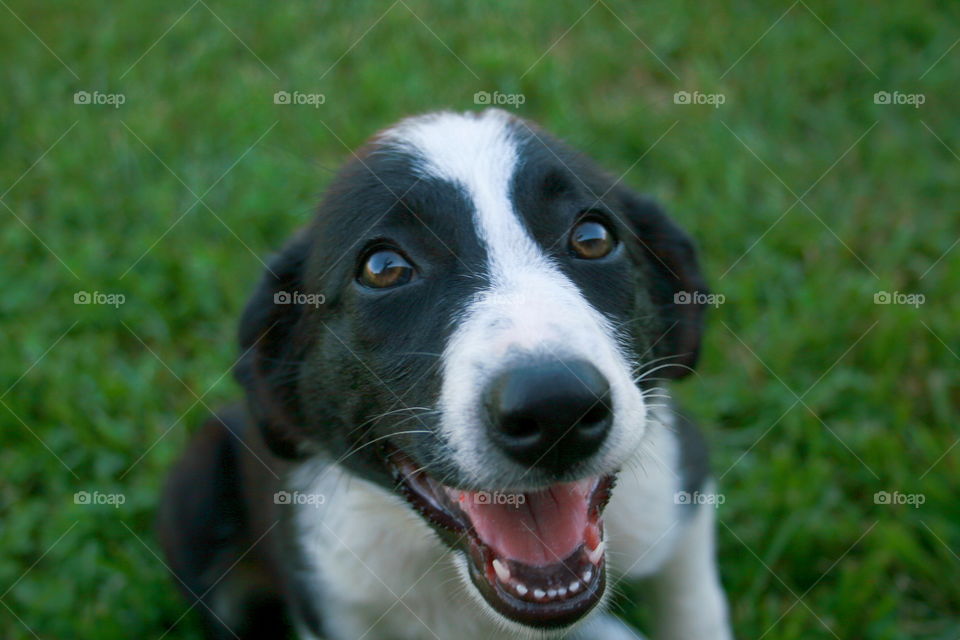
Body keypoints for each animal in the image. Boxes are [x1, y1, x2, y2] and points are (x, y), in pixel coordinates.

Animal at [158, 111, 732, 640]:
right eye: (383, 268)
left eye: (593, 237)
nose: (556, 409)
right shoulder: (331, 596)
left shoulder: (677, 493)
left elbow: (694, 605)